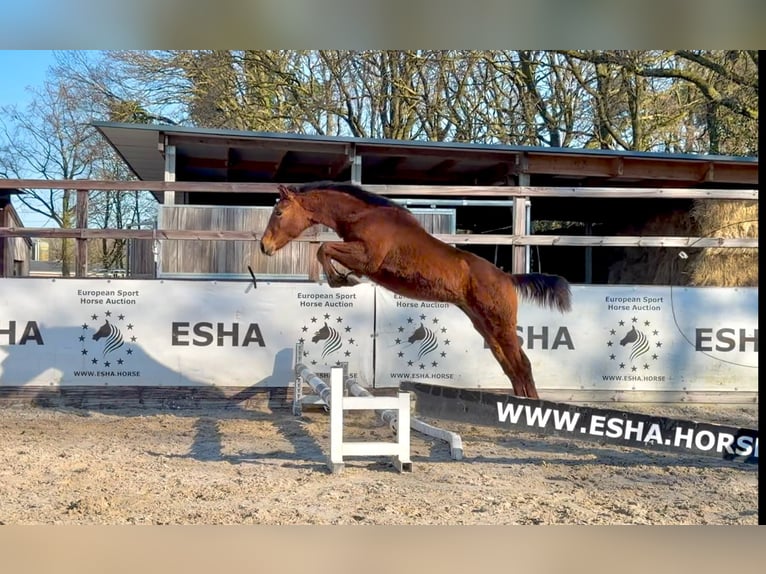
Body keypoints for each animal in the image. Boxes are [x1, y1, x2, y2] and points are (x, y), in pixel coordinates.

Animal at [260, 181, 571, 399]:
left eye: (279, 212)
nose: (264, 247)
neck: (363, 215)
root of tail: (507, 277)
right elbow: (325, 251)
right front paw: (341, 278)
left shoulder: (367, 258)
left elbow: (324, 249)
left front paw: (342, 279)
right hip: (485, 327)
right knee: (511, 367)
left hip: (501, 325)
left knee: (522, 365)